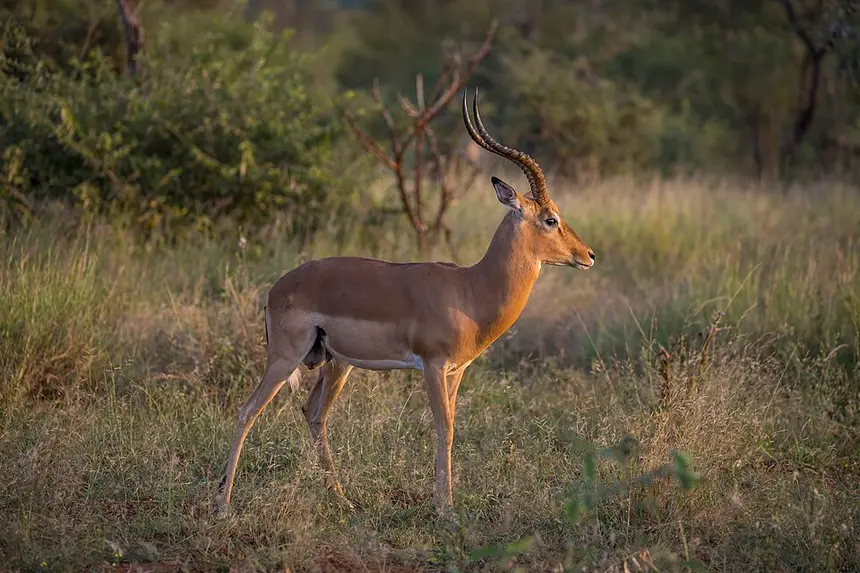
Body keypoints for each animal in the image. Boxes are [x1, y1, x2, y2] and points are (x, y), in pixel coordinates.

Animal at [215, 89, 596, 512]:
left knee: (313, 413)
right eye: (550, 219)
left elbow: (451, 427)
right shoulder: (432, 365)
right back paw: (224, 506)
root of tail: (277, 288)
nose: (588, 255)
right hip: (286, 358)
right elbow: (443, 428)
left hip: (336, 363)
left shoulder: (456, 371)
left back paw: (343, 500)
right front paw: (445, 508)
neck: (470, 288)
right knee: (246, 412)